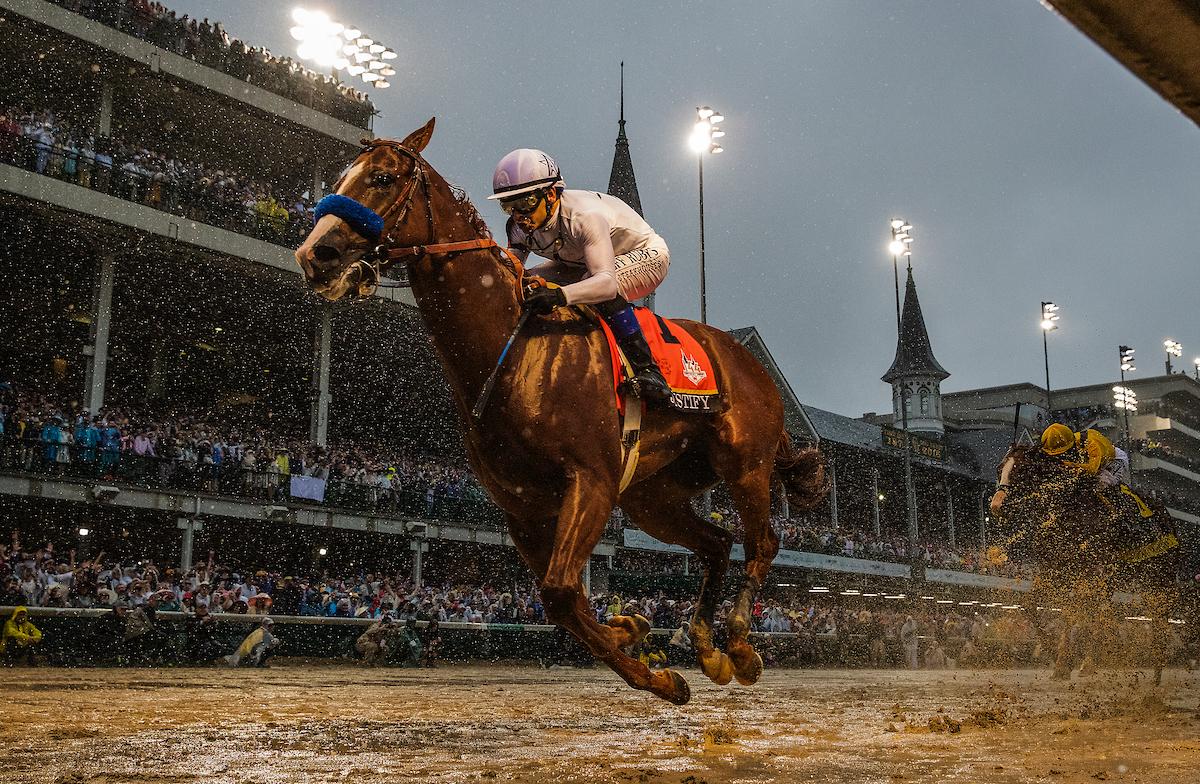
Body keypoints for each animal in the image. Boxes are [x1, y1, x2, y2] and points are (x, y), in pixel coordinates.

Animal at [293, 119, 827, 704]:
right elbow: (560, 600)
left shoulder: (589, 481)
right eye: (341, 177)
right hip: (652, 497)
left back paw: (739, 643)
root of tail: (748, 360)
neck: (514, 349)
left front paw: (653, 666)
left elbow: (562, 593)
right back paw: (707, 646)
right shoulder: (523, 508)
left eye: (383, 178)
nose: (315, 254)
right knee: (717, 543)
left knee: (761, 542)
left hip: (744, 464)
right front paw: (635, 634)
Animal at [988, 443, 1194, 683]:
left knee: (1159, 617)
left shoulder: (1088, 568)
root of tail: (1168, 519)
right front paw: (1055, 655)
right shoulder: (1055, 567)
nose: (996, 505)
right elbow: (1030, 605)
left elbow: (1073, 610)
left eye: (1021, 469)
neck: (1068, 507)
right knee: (1106, 612)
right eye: (999, 469)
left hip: (1161, 577)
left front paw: (1064, 663)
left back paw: (1157, 671)